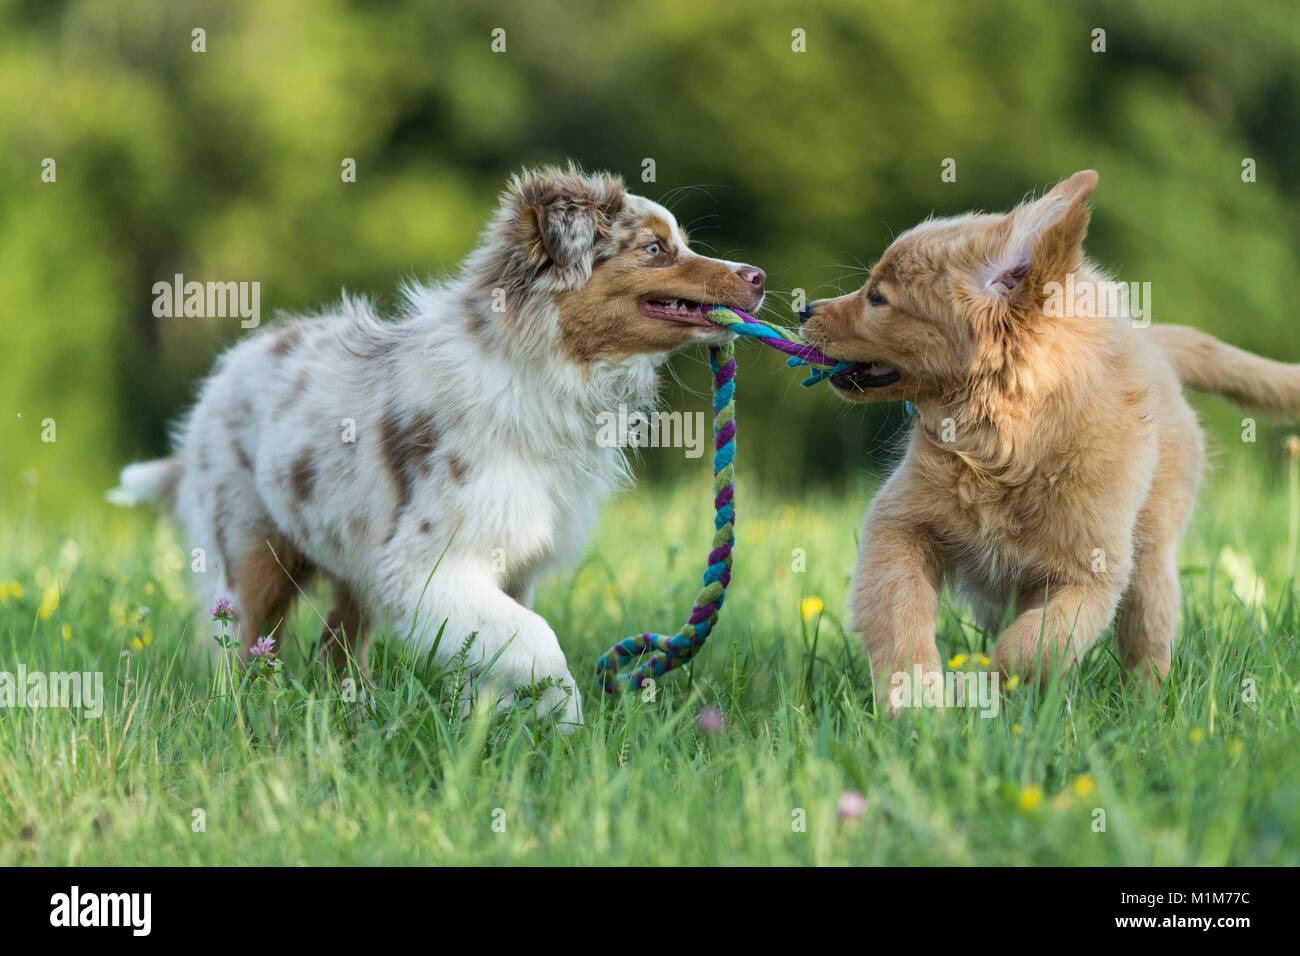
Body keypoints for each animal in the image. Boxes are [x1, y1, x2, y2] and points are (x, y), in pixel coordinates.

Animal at [800, 170, 1300, 712]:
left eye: (877, 298)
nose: (804, 307)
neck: (1006, 444)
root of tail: (1154, 342)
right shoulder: (898, 524)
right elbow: (899, 609)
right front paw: (915, 698)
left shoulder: (1091, 574)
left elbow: (1034, 644)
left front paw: (980, 688)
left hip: (1151, 557)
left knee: (1148, 638)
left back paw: (1143, 706)